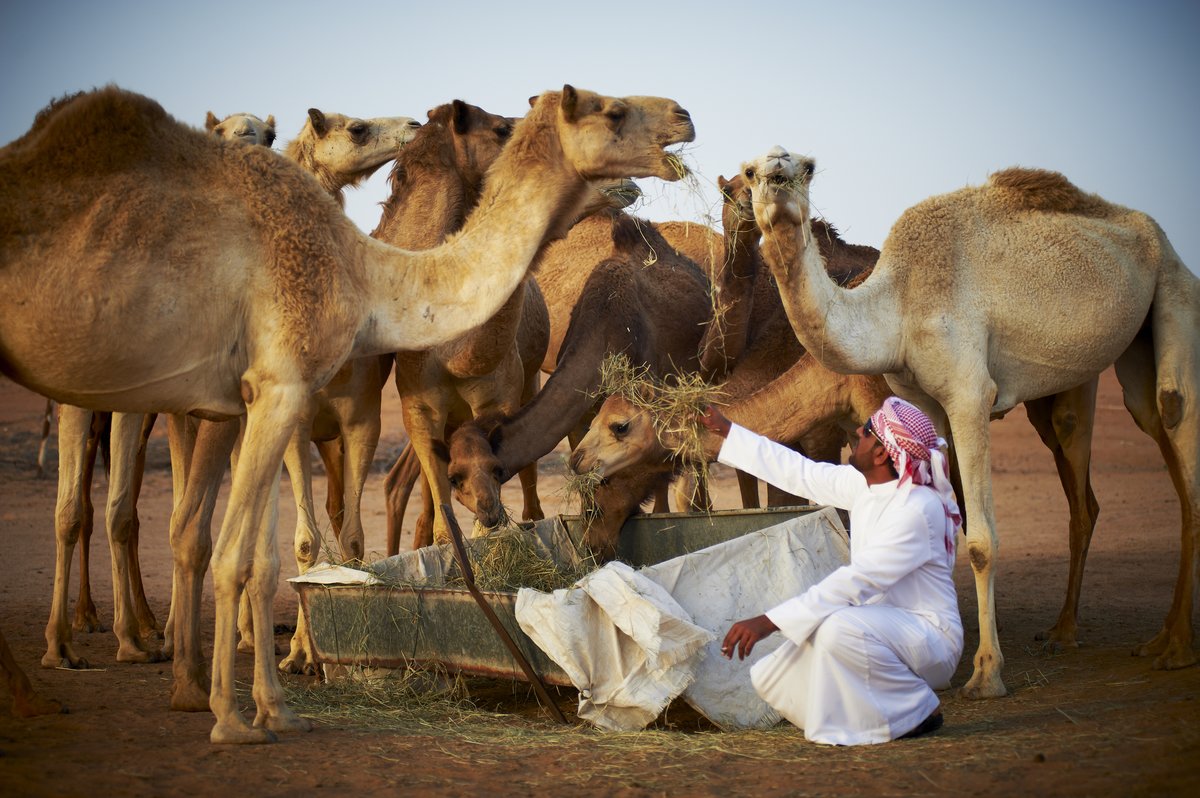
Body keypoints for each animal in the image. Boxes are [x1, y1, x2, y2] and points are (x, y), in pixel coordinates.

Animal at [0, 84, 694, 743]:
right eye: (611, 111)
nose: (683, 117)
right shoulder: (289, 394)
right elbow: (269, 550)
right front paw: (250, 712)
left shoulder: (331, 410)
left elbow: (305, 546)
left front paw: (272, 694)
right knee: (108, 511)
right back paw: (92, 650)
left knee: (183, 523)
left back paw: (146, 675)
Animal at [740, 146, 1199, 698]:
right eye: (749, 172)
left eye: (806, 167)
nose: (776, 174)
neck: (896, 306)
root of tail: (1161, 239)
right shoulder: (927, 405)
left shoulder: (969, 394)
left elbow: (981, 541)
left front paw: (986, 672)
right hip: (1134, 345)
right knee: (1148, 423)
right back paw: (1109, 636)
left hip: (1176, 290)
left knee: (1176, 410)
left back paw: (1176, 648)